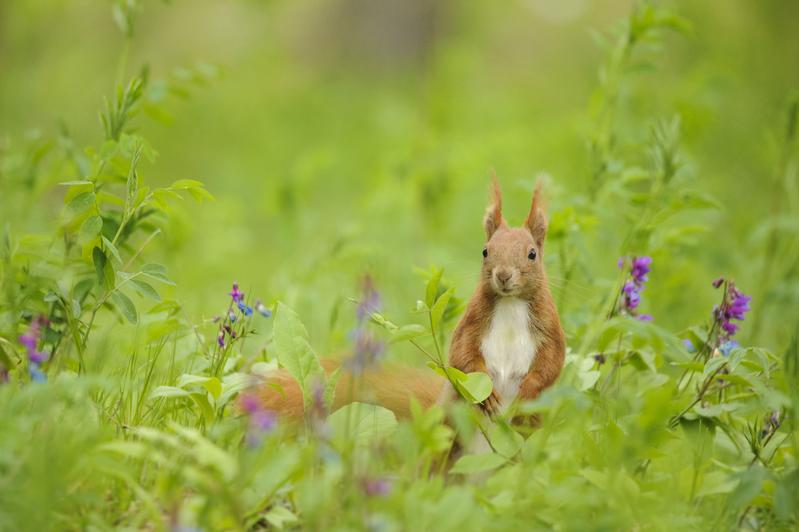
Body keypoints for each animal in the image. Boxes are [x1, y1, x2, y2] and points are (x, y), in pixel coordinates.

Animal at [260, 179, 564, 420]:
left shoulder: (550, 327)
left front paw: (527, 392)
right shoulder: (472, 322)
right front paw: (486, 395)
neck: (510, 304)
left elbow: (552, 364)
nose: (503, 275)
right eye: (485, 251)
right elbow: (462, 355)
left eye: (532, 254)